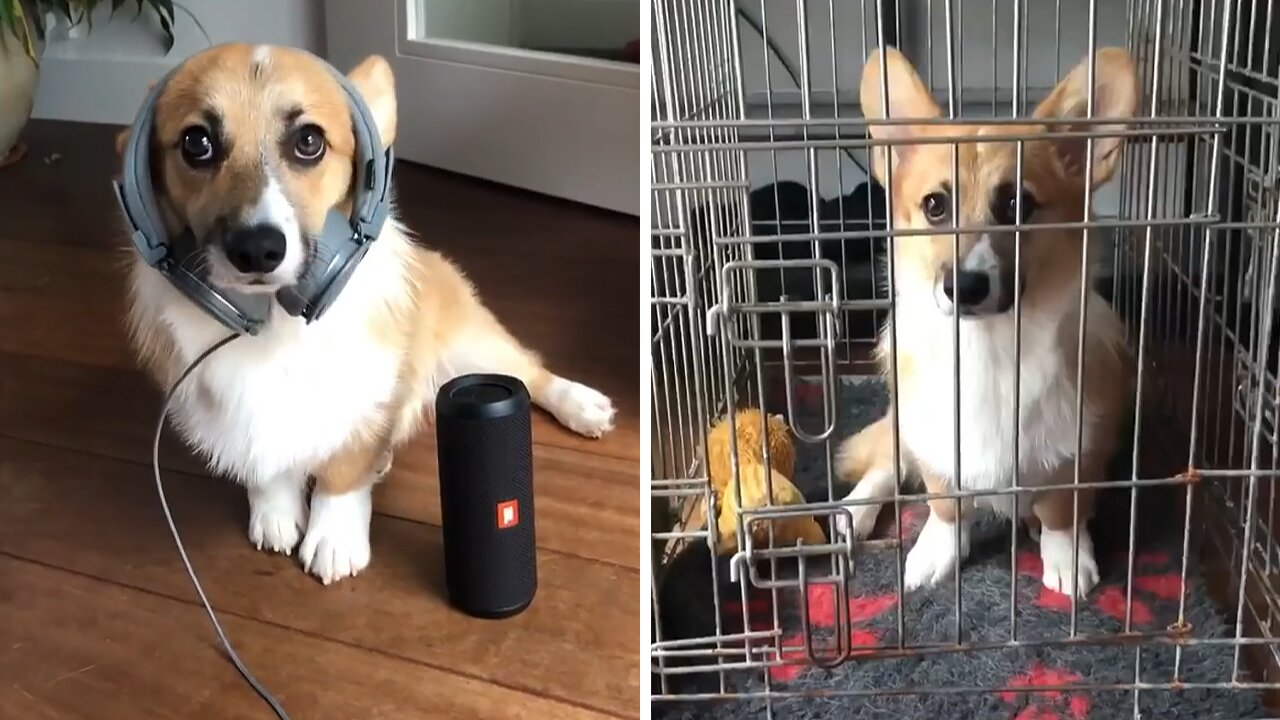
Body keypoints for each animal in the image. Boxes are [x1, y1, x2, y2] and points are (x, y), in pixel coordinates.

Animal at [113, 43, 614, 584]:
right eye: (196, 143)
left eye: (309, 141)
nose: (257, 250)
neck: (275, 322)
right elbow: (264, 463)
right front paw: (275, 513)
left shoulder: (365, 396)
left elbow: (343, 473)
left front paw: (332, 539)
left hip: (469, 349)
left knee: (528, 371)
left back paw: (581, 403)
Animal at [834, 44, 1136, 594]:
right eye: (935, 205)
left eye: (1018, 204)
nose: (965, 286)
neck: (988, 346)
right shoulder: (934, 444)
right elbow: (944, 504)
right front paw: (937, 552)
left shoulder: (1080, 449)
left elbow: (1062, 511)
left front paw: (1067, 558)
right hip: (901, 424)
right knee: (886, 464)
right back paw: (854, 514)